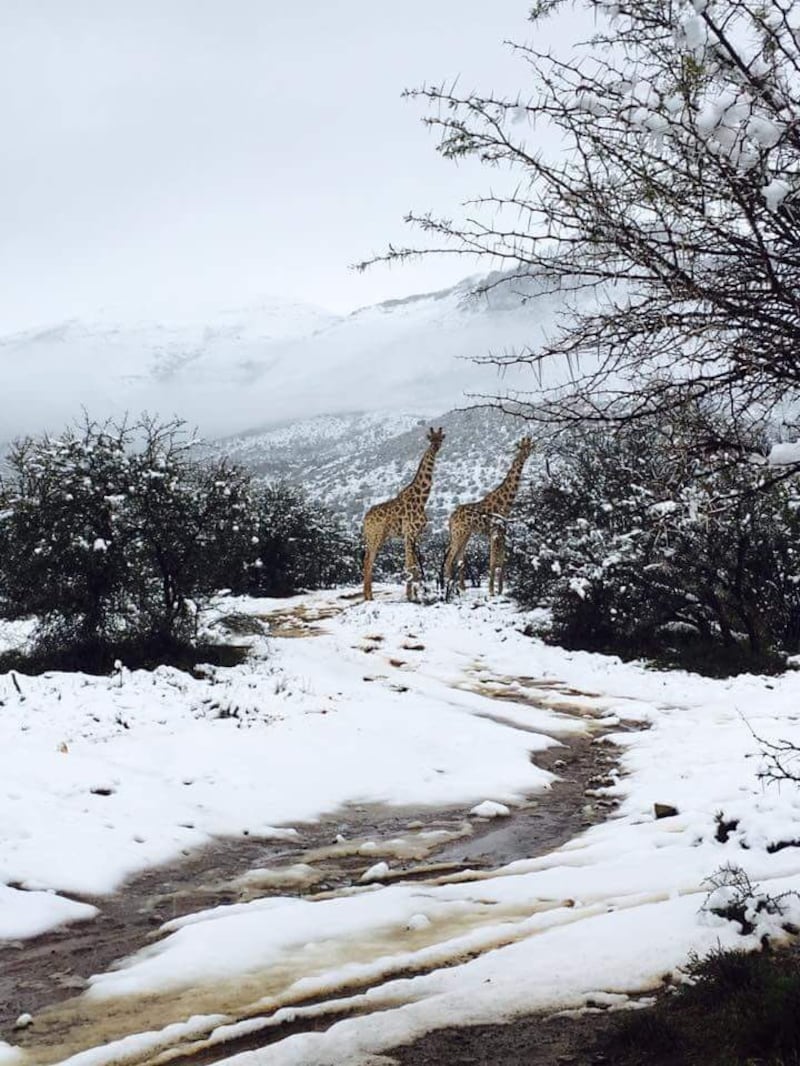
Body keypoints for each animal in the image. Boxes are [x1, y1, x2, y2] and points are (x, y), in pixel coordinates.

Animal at [364, 428, 448, 605]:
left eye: (440, 439)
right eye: (431, 439)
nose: (436, 447)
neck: (422, 499)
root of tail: (364, 520)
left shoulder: (416, 534)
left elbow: (414, 565)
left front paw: (416, 595)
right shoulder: (409, 533)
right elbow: (410, 565)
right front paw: (411, 597)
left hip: (375, 537)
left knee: (366, 559)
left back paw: (367, 595)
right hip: (375, 536)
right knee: (368, 561)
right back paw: (369, 596)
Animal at [441, 434, 535, 601]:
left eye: (529, 447)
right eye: (523, 447)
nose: (527, 453)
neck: (505, 501)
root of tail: (450, 519)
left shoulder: (502, 530)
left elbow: (502, 560)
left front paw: (500, 590)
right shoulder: (494, 530)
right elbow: (492, 560)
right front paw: (492, 591)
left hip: (466, 535)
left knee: (459, 559)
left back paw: (461, 589)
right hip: (459, 534)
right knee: (449, 559)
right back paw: (449, 590)